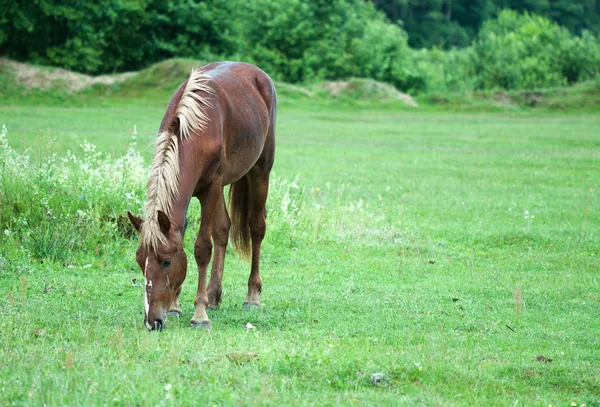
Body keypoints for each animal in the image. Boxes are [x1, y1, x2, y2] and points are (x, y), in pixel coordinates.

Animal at [127, 61, 278, 332]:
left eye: (166, 261)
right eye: (139, 260)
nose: (152, 321)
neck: (196, 129)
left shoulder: (211, 189)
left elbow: (201, 248)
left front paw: (199, 314)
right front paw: (176, 306)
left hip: (260, 171)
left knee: (256, 228)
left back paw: (252, 296)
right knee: (223, 229)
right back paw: (214, 294)